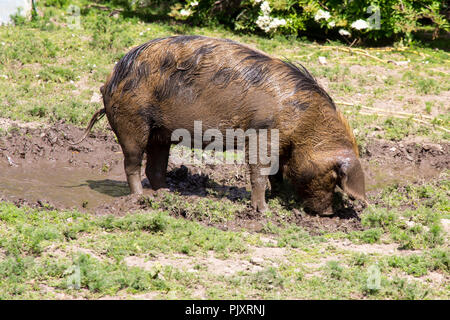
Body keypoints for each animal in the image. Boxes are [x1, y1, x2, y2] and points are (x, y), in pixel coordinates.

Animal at [74, 34, 368, 215]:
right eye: (333, 175)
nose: (328, 214)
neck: (305, 124)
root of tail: (109, 80)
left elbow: (276, 173)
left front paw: (277, 199)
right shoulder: (262, 133)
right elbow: (260, 171)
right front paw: (264, 211)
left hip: (160, 132)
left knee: (154, 167)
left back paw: (167, 195)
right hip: (132, 120)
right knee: (132, 164)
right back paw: (140, 199)